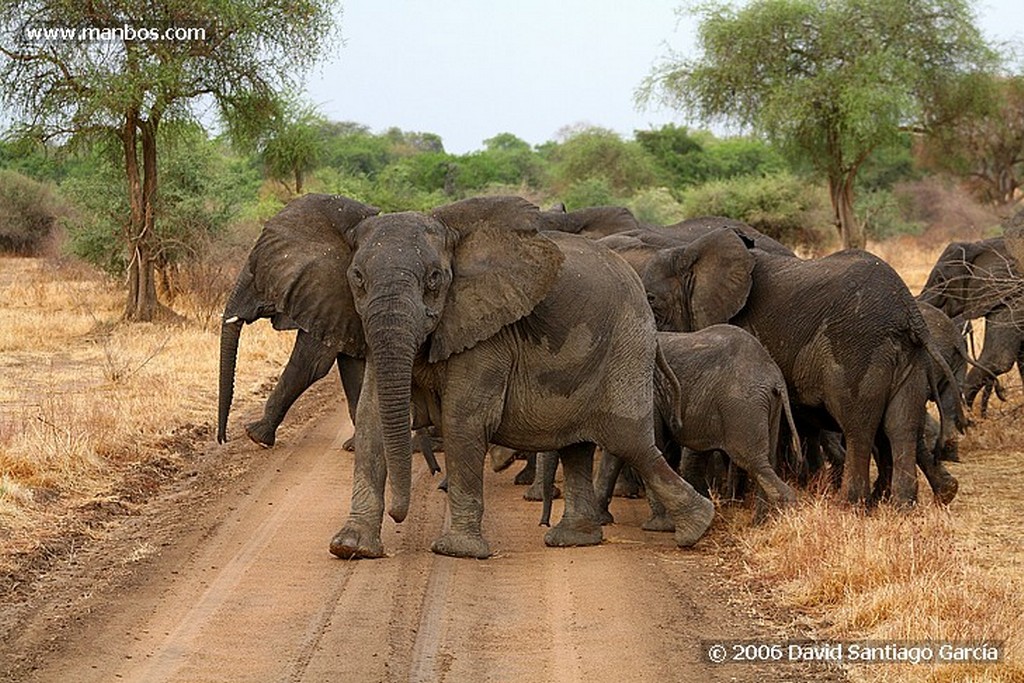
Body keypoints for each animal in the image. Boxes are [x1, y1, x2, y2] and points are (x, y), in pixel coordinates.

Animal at [237, 192, 712, 561]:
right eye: (356, 278)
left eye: (435, 279)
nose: (399, 514)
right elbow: (373, 418)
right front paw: (351, 548)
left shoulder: (490, 329)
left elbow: (464, 420)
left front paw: (457, 551)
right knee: (576, 444)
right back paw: (572, 540)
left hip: (625, 345)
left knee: (628, 439)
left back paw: (697, 528)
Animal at [589, 327, 802, 532]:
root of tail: (775, 376)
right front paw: (601, 520)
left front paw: (658, 527)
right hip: (766, 407)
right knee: (766, 461)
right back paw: (761, 524)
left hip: (743, 405)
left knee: (753, 460)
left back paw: (778, 517)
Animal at [638, 227, 950, 505]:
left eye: (652, 299)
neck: (690, 252)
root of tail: (907, 309)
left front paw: (737, 499)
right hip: (909, 357)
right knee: (902, 425)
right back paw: (900, 505)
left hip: (856, 350)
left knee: (859, 425)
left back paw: (851, 504)